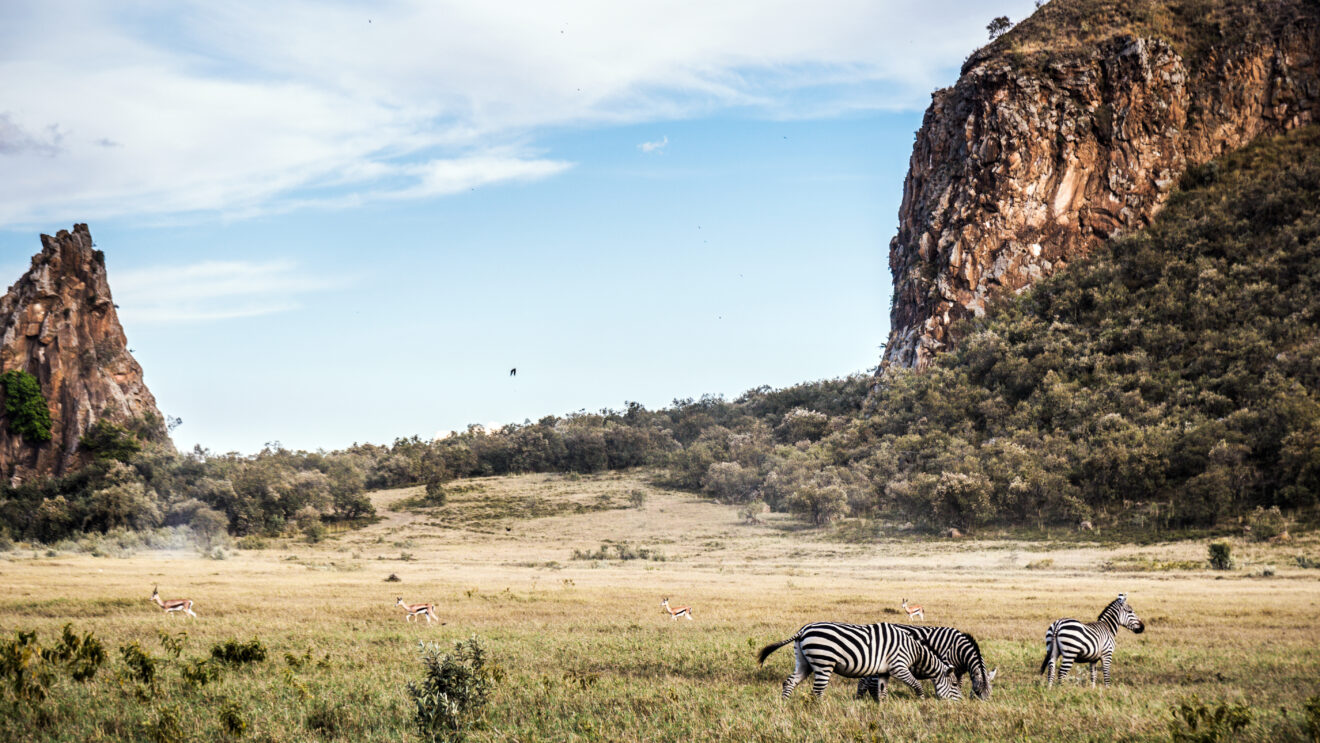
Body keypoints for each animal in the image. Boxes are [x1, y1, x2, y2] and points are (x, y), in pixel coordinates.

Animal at [757, 622, 959, 700]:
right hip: (824, 662)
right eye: (955, 684)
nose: (959, 704)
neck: (914, 650)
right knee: (817, 691)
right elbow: (917, 684)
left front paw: (881, 708)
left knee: (789, 682)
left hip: (803, 662)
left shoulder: (883, 671)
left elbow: (882, 691)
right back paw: (820, 711)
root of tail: (803, 630)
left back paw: (785, 704)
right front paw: (922, 700)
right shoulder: (898, 666)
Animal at [856, 625, 998, 700]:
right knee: (865, 681)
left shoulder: (958, 671)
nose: (982, 706)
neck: (959, 649)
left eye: (990, 692)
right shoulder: (945, 663)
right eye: (978, 691)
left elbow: (959, 684)